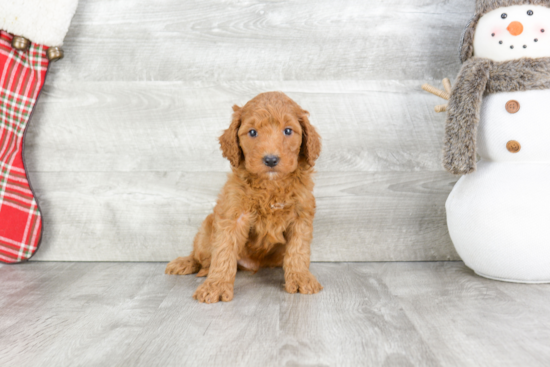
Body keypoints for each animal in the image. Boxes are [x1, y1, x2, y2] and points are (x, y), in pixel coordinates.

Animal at [167, 90, 324, 304]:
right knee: (201, 256)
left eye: (288, 131)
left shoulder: (301, 215)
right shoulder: (233, 215)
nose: (271, 160)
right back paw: (185, 262)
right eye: (252, 132)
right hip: (207, 229)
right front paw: (215, 286)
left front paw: (301, 278)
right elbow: (223, 253)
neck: (271, 185)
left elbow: (298, 251)